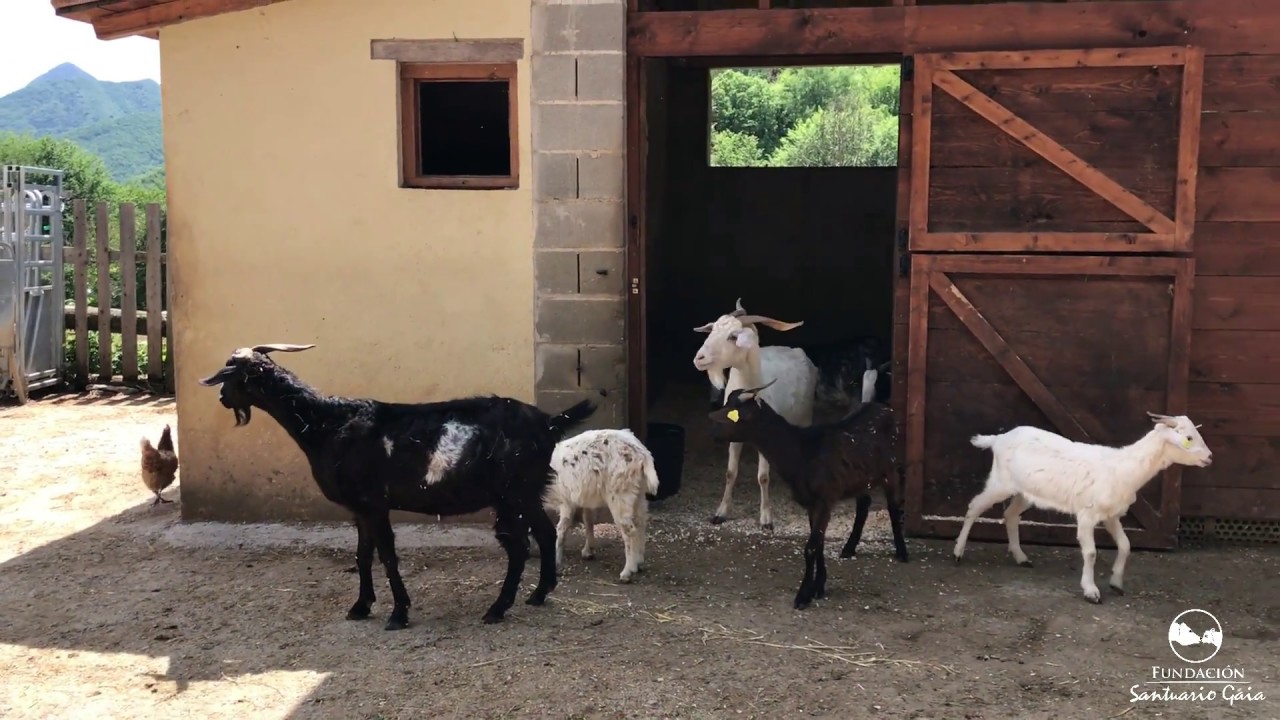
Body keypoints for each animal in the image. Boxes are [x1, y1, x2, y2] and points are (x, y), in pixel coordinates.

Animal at [198, 343, 597, 630]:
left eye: (233, 377)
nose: (221, 399)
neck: (327, 425)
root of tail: (548, 423)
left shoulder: (374, 503)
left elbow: (387, 554)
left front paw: (398, 613)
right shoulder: (359, 508)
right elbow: (362, 555)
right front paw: (360, 606)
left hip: (512, 494)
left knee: (519, 547)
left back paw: (497, 609)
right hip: (526, 493)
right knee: (544, 533)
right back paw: (539, 594)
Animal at [544, 428, 660, 583]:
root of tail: (642, 453)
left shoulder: (566, 499)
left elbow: (562, 528)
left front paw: (556, 559)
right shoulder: (583, 499)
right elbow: (588, 521)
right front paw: (588, 551)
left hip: (619, 494)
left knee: (629, 530)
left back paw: (627, 571)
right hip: (637, 492)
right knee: (641, 523)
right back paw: (639, 563)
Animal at [693, 303, 817, 530]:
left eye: (733, 336)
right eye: (712, 329)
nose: (699, 358)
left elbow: (762, 477)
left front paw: (766, 519)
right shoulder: (732, 435)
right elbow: (730, 473)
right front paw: (720, 513)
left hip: (806, 417)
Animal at [707, 381, 909, 610]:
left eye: (732, 414)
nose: (712, 433)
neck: (802, 451)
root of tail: (883, 407)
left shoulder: (824, 500)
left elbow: (811, 548)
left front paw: (803, 595)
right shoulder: (812, 504)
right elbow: (818, 544)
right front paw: (818, 586)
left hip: (890, 469)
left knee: (893, 506)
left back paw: (902, 551)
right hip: (860, 477)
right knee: (864, 503)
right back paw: (849, 547)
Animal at [953, 412, 1213, 604]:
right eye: (1189, 437)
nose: (1210, 458)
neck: (1122, 468)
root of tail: (998, 439)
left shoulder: (1111, 515)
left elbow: (1126, 545)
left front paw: (1116, 583)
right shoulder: (1087, 514)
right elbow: (1090, 553)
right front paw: (1091, 591)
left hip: (1025, 491)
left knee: (1010, 514)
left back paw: (1021, 557)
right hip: (1001, 482)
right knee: (974, 507)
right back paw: (958, 553)